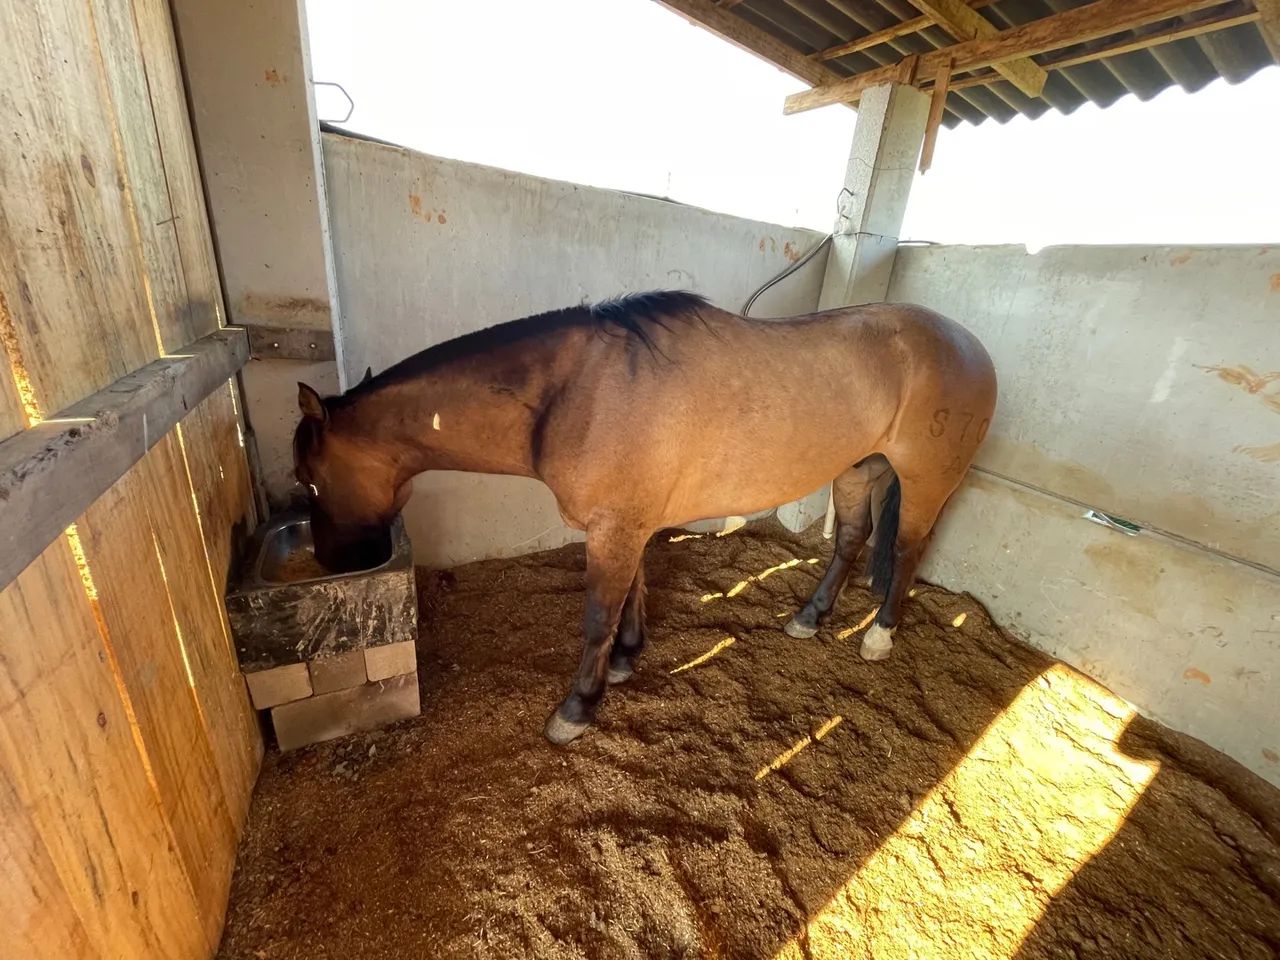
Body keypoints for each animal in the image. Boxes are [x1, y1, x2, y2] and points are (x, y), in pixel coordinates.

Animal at [292, 291, 996, 745]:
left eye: (309, 479)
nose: (335, 564)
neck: (572, 394)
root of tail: (972, 345)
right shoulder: (626, 524)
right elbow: (632, 593)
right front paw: (627, 659)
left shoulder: (616, 527)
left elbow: (597, 614)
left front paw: (578, 707)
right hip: (857, 467)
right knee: (852, 538)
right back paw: (809, 617)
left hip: (925, 479)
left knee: (906, 549)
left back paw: (879, 636)